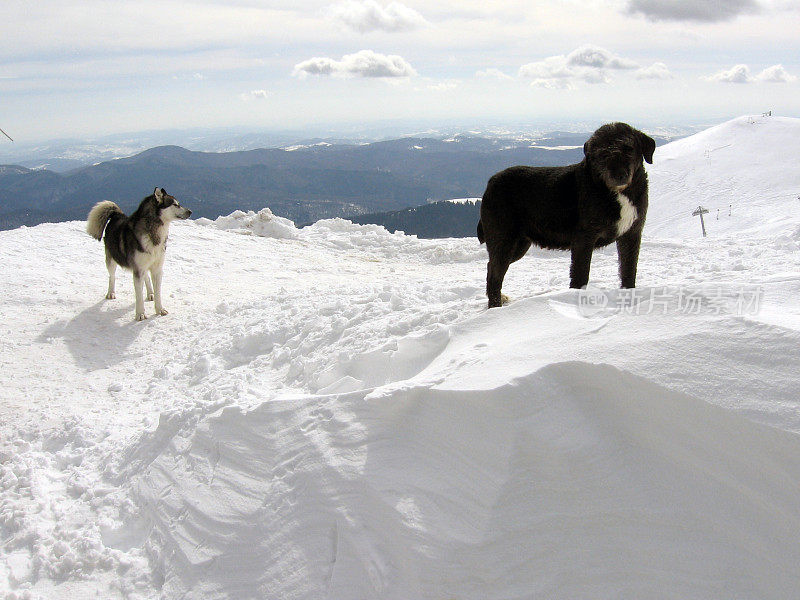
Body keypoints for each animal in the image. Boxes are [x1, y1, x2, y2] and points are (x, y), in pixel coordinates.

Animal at [88, 188, 192, 322]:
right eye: (175, 204)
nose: (190, 211)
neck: (154, 233)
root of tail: (117, 215)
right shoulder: (138, 270)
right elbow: (138, 295)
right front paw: (140, 314)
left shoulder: (157, 269)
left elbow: (158, 292)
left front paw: (159, 309)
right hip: (111, 260)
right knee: (112, 276)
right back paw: (111, 293)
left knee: (146, 277)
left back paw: (150, 293)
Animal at [476, 123, 656, 310]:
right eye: (602, 154)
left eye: (629, 149)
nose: (618, 175)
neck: (616, 192)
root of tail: (490, 183)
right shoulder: (584, 239)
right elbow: (580, 274)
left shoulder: (632, 234)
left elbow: (629, 270)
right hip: (504, 240)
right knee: (495, 274)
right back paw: (495, 307)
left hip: (519, 244)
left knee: (491, 267)